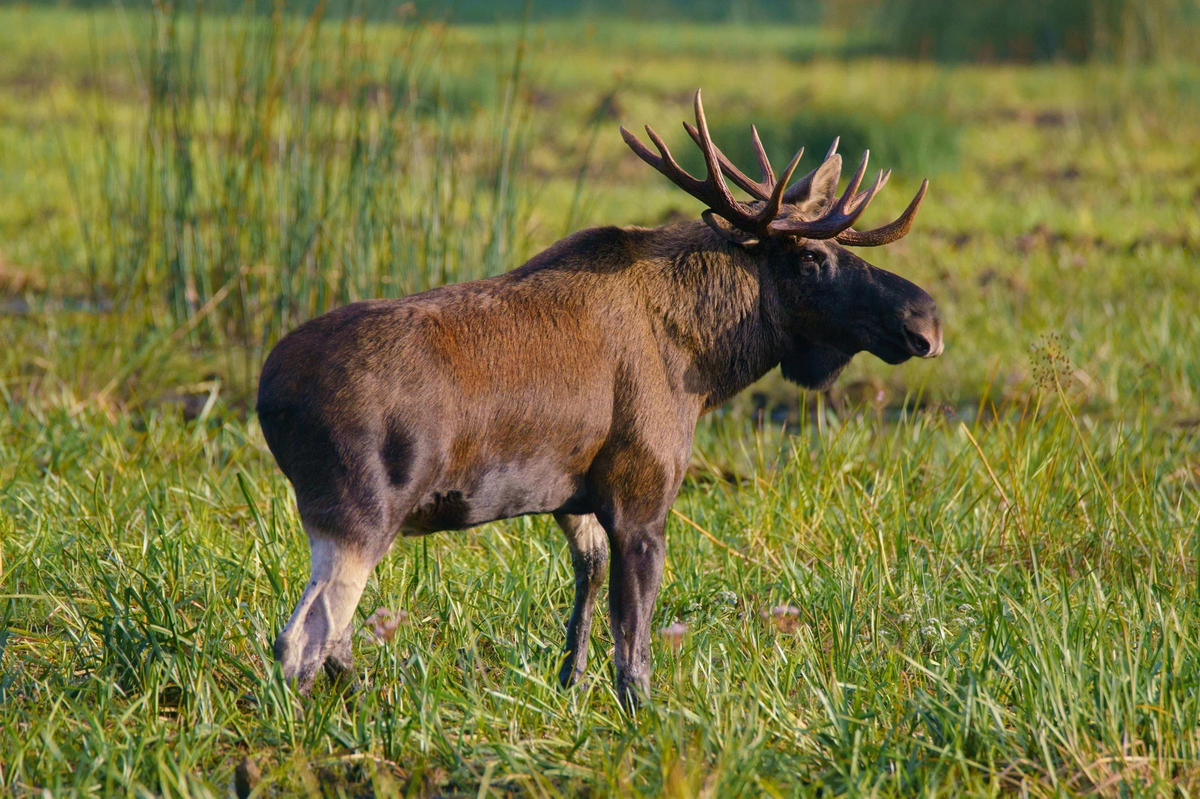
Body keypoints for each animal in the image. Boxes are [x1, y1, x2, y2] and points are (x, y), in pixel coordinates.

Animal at [258, 89, 940, 705]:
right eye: (812, 259)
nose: (926, 320)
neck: (706, 360)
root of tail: (270, 394)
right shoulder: (641, 493)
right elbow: (633, 645)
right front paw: (641, 716)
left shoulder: (573, 497)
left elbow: (586, 596)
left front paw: (569, 687)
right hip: (360, 512)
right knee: (303, 639)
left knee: (333, 638)